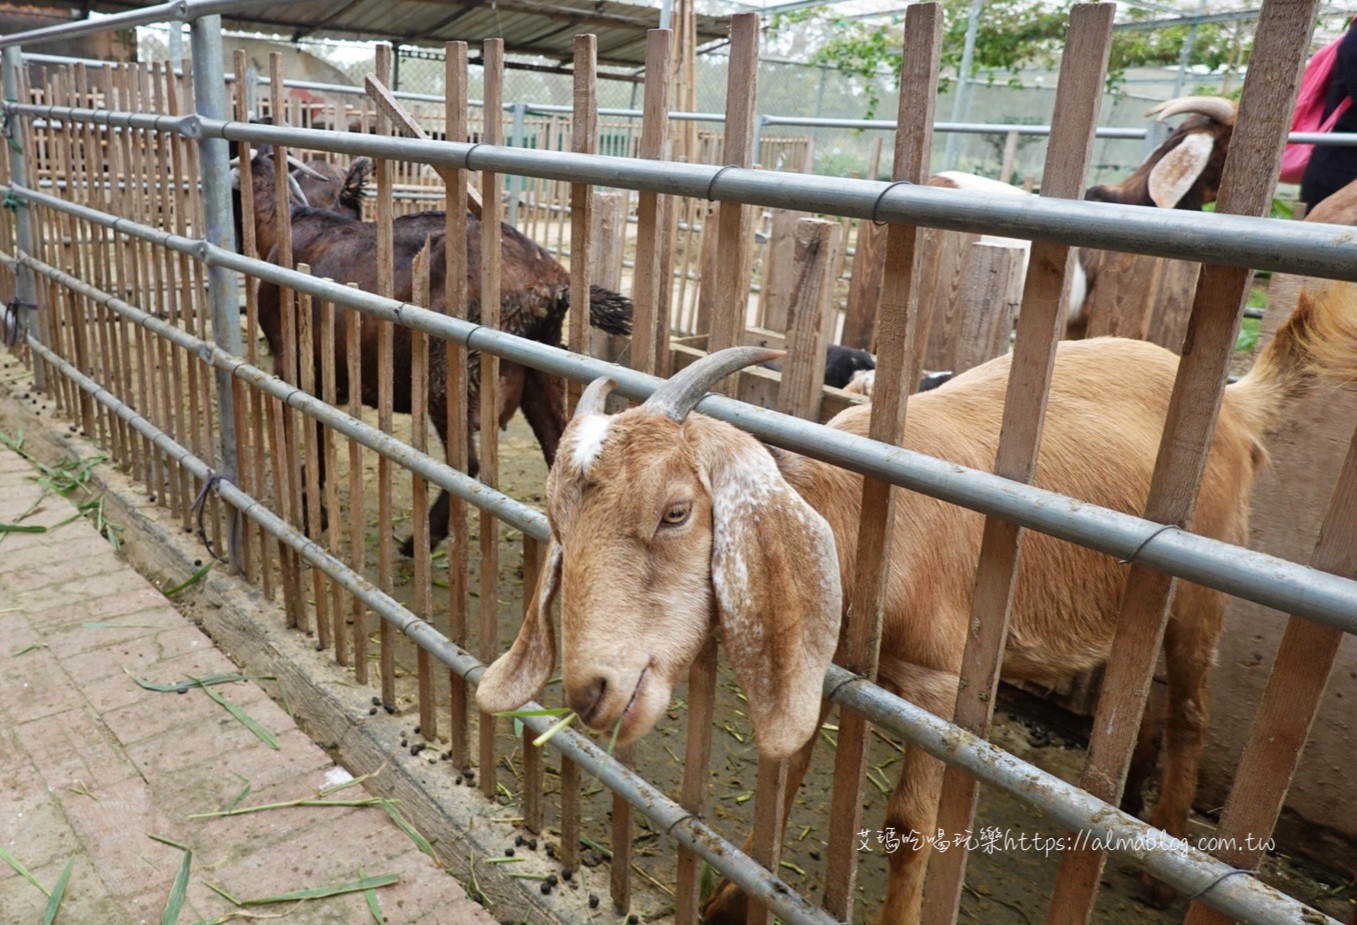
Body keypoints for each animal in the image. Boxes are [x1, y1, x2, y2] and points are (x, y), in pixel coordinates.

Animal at [237, 150, 629, 550]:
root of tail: (550, 286)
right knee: (557, 449)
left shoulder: (293, 363)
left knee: (465, 463)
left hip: (451, 377)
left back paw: (423, 538)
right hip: (542, 369)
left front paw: (311, 507)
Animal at [477, 280, 1357, 922]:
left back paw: (1163, 860)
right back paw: (1129, 799)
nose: (590, 688)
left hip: (1203, 581)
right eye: (561, 520)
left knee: (1192, 705)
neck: (864, 519)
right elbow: (786, 767)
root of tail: (1235, 399)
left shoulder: (935, 678)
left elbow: (909, 826)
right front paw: (731, 893)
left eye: (675, 511)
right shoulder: (821, 654)